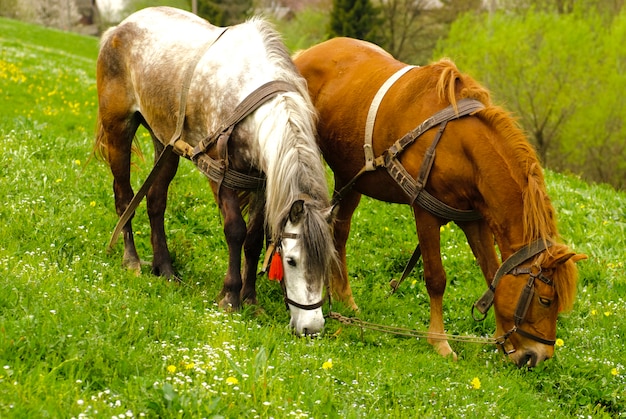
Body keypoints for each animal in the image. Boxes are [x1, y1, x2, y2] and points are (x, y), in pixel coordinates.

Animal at [94, 6, 336, 336]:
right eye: (291, 261)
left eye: (326, 264)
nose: (312, 328)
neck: (248, 97)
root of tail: (118, 28)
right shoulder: (221, 176)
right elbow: (235, 231)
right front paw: (230, 296)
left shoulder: (263, 182)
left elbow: (253, 238)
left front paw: (251, 299)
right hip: (118, 128)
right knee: (124, 197)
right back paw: (131, 261)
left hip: (165, 142)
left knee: (156, 201)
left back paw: (164, 268)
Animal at [292, 39, 584, 368]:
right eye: (546, 300)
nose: (538, 357)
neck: (458, 145)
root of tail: (307, 53)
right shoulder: (425, 214)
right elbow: (436, 278)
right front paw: (439, 341)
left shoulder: (475, 220)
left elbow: (492, 274)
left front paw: (501, 339)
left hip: (350, 176)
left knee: (339, 234)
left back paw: (345, 297)